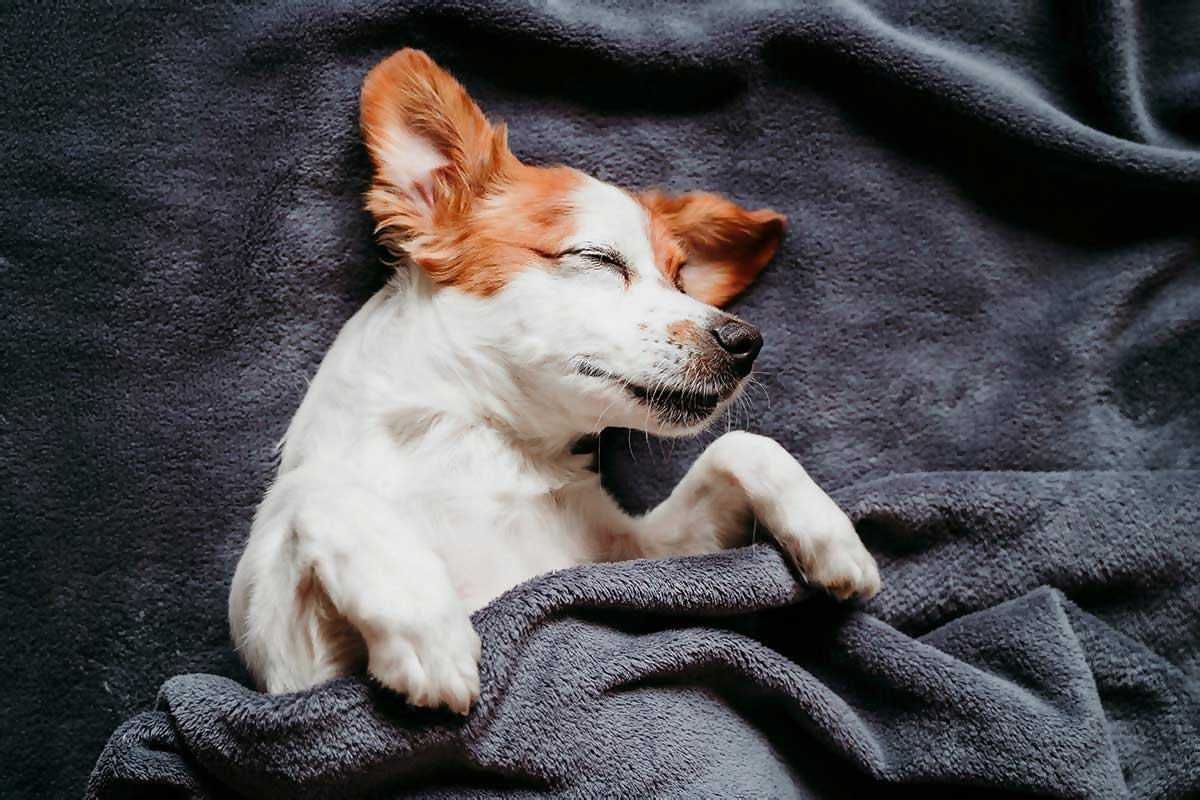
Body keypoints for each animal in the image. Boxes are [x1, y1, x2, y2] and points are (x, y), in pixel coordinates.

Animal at [226, 48, 883, 714]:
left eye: (681, 279)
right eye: (599, 259)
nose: (746, 342)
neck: (492, 443)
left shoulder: (637, 563)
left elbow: (741, 446)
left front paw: (834, 537)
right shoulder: (296, 684)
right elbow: (324, 496)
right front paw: (424, 622)